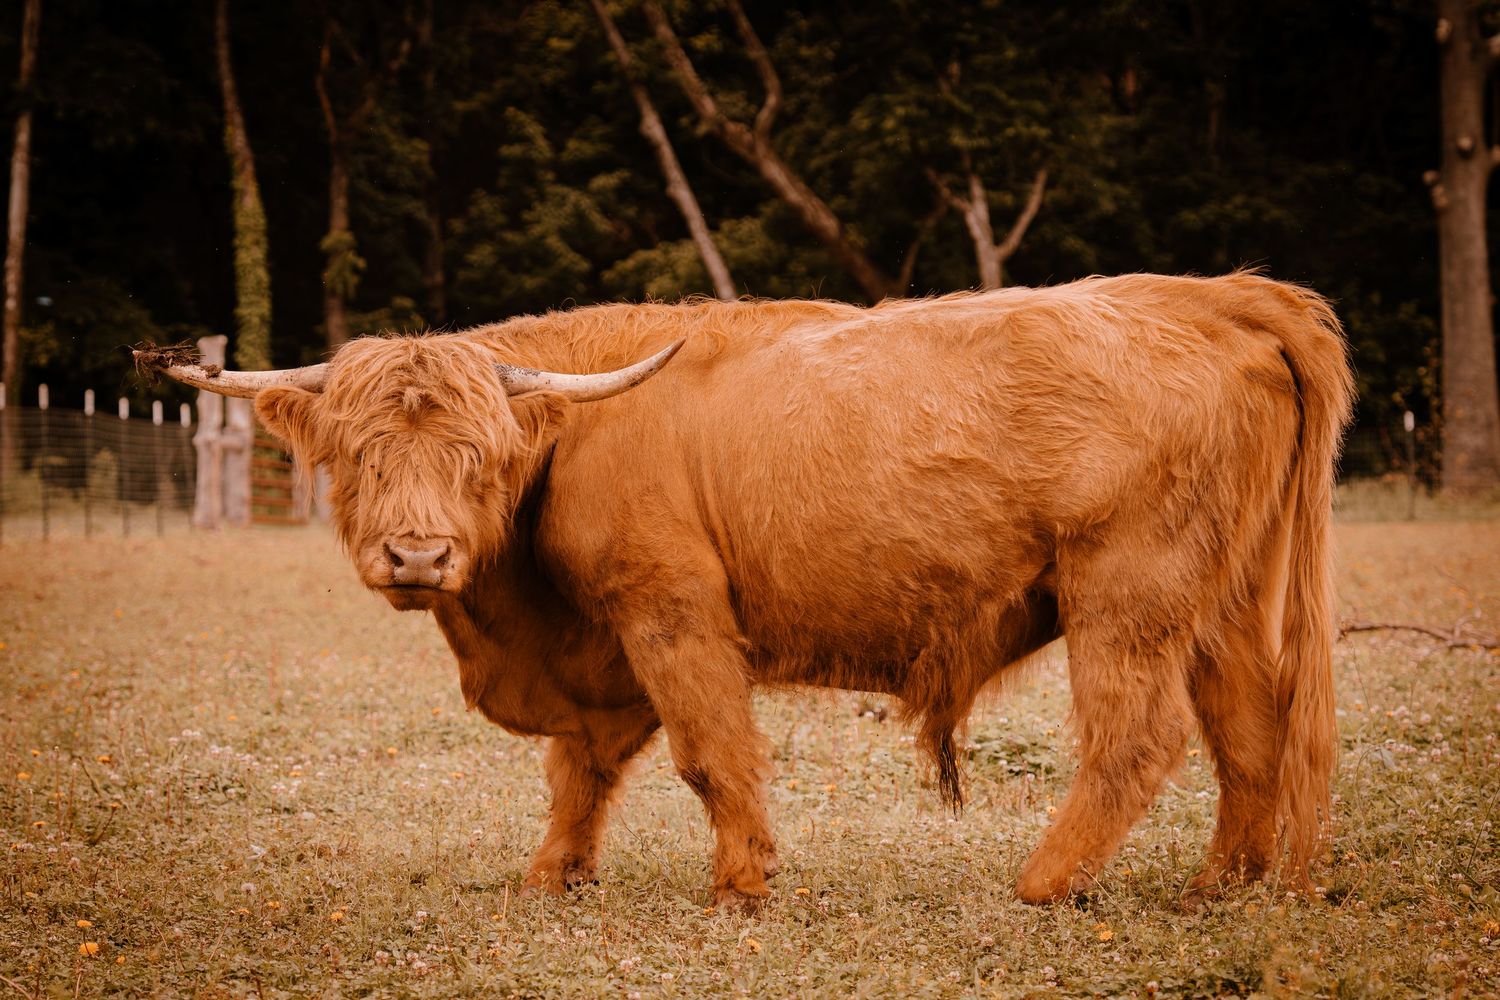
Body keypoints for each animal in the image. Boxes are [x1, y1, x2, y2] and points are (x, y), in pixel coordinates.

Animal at [137, 272, 1353, 910]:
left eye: (477, 457)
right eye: (358, 455)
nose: (419, 556)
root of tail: (1215, 295)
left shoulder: (670, 616)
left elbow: (710, 753)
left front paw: (741, 883)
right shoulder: (600, 657)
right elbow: (579, 771)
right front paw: (553, 874)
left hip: (1128, 592)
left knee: (1136, 738)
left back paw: (1043, 882)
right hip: (1223, 598)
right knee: (1248, 729)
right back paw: (1225, 883)